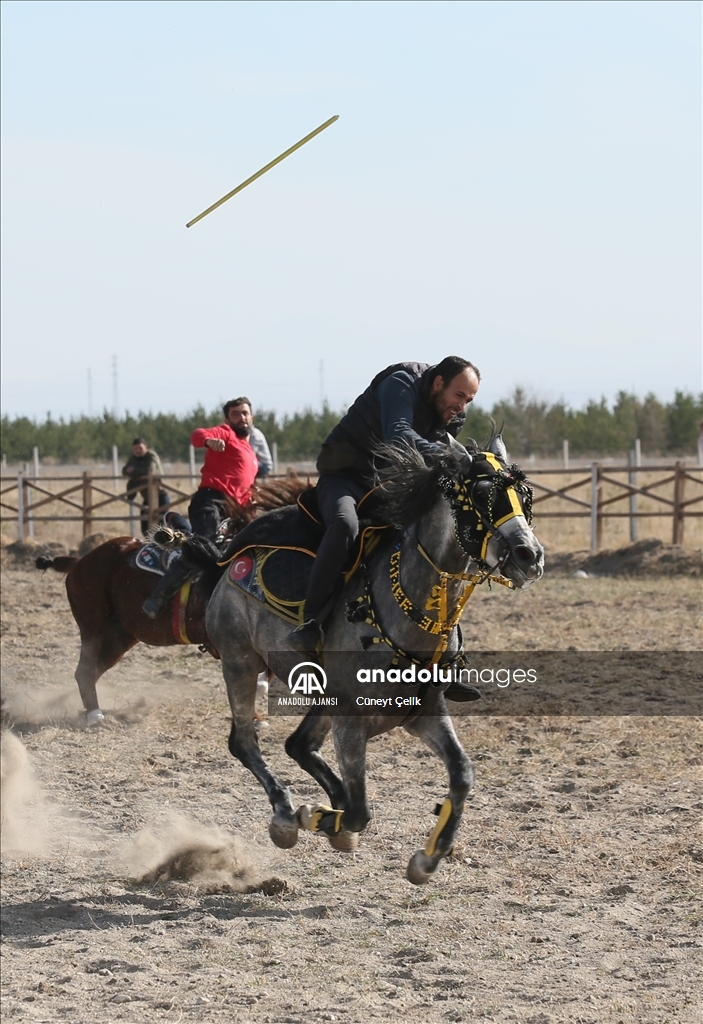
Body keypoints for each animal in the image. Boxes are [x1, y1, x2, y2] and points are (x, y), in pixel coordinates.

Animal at [35, 477, 304, 724]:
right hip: (94, 628)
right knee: (85, 670)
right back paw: (94, 715)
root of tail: (79, 562)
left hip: (119, 637)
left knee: (91, 671)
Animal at [203, 436, 544, 884]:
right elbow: (361, 812)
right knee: (244, 741)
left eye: (524, 495)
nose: (529, 555)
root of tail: (232, 558)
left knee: (299, 744)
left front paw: (427, 859)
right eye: (481, 494)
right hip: (240, 663)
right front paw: (314, 817)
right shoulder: (351, 719)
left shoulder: (424, 713)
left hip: (319, 693)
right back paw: (286, 816)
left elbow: (462, 773)